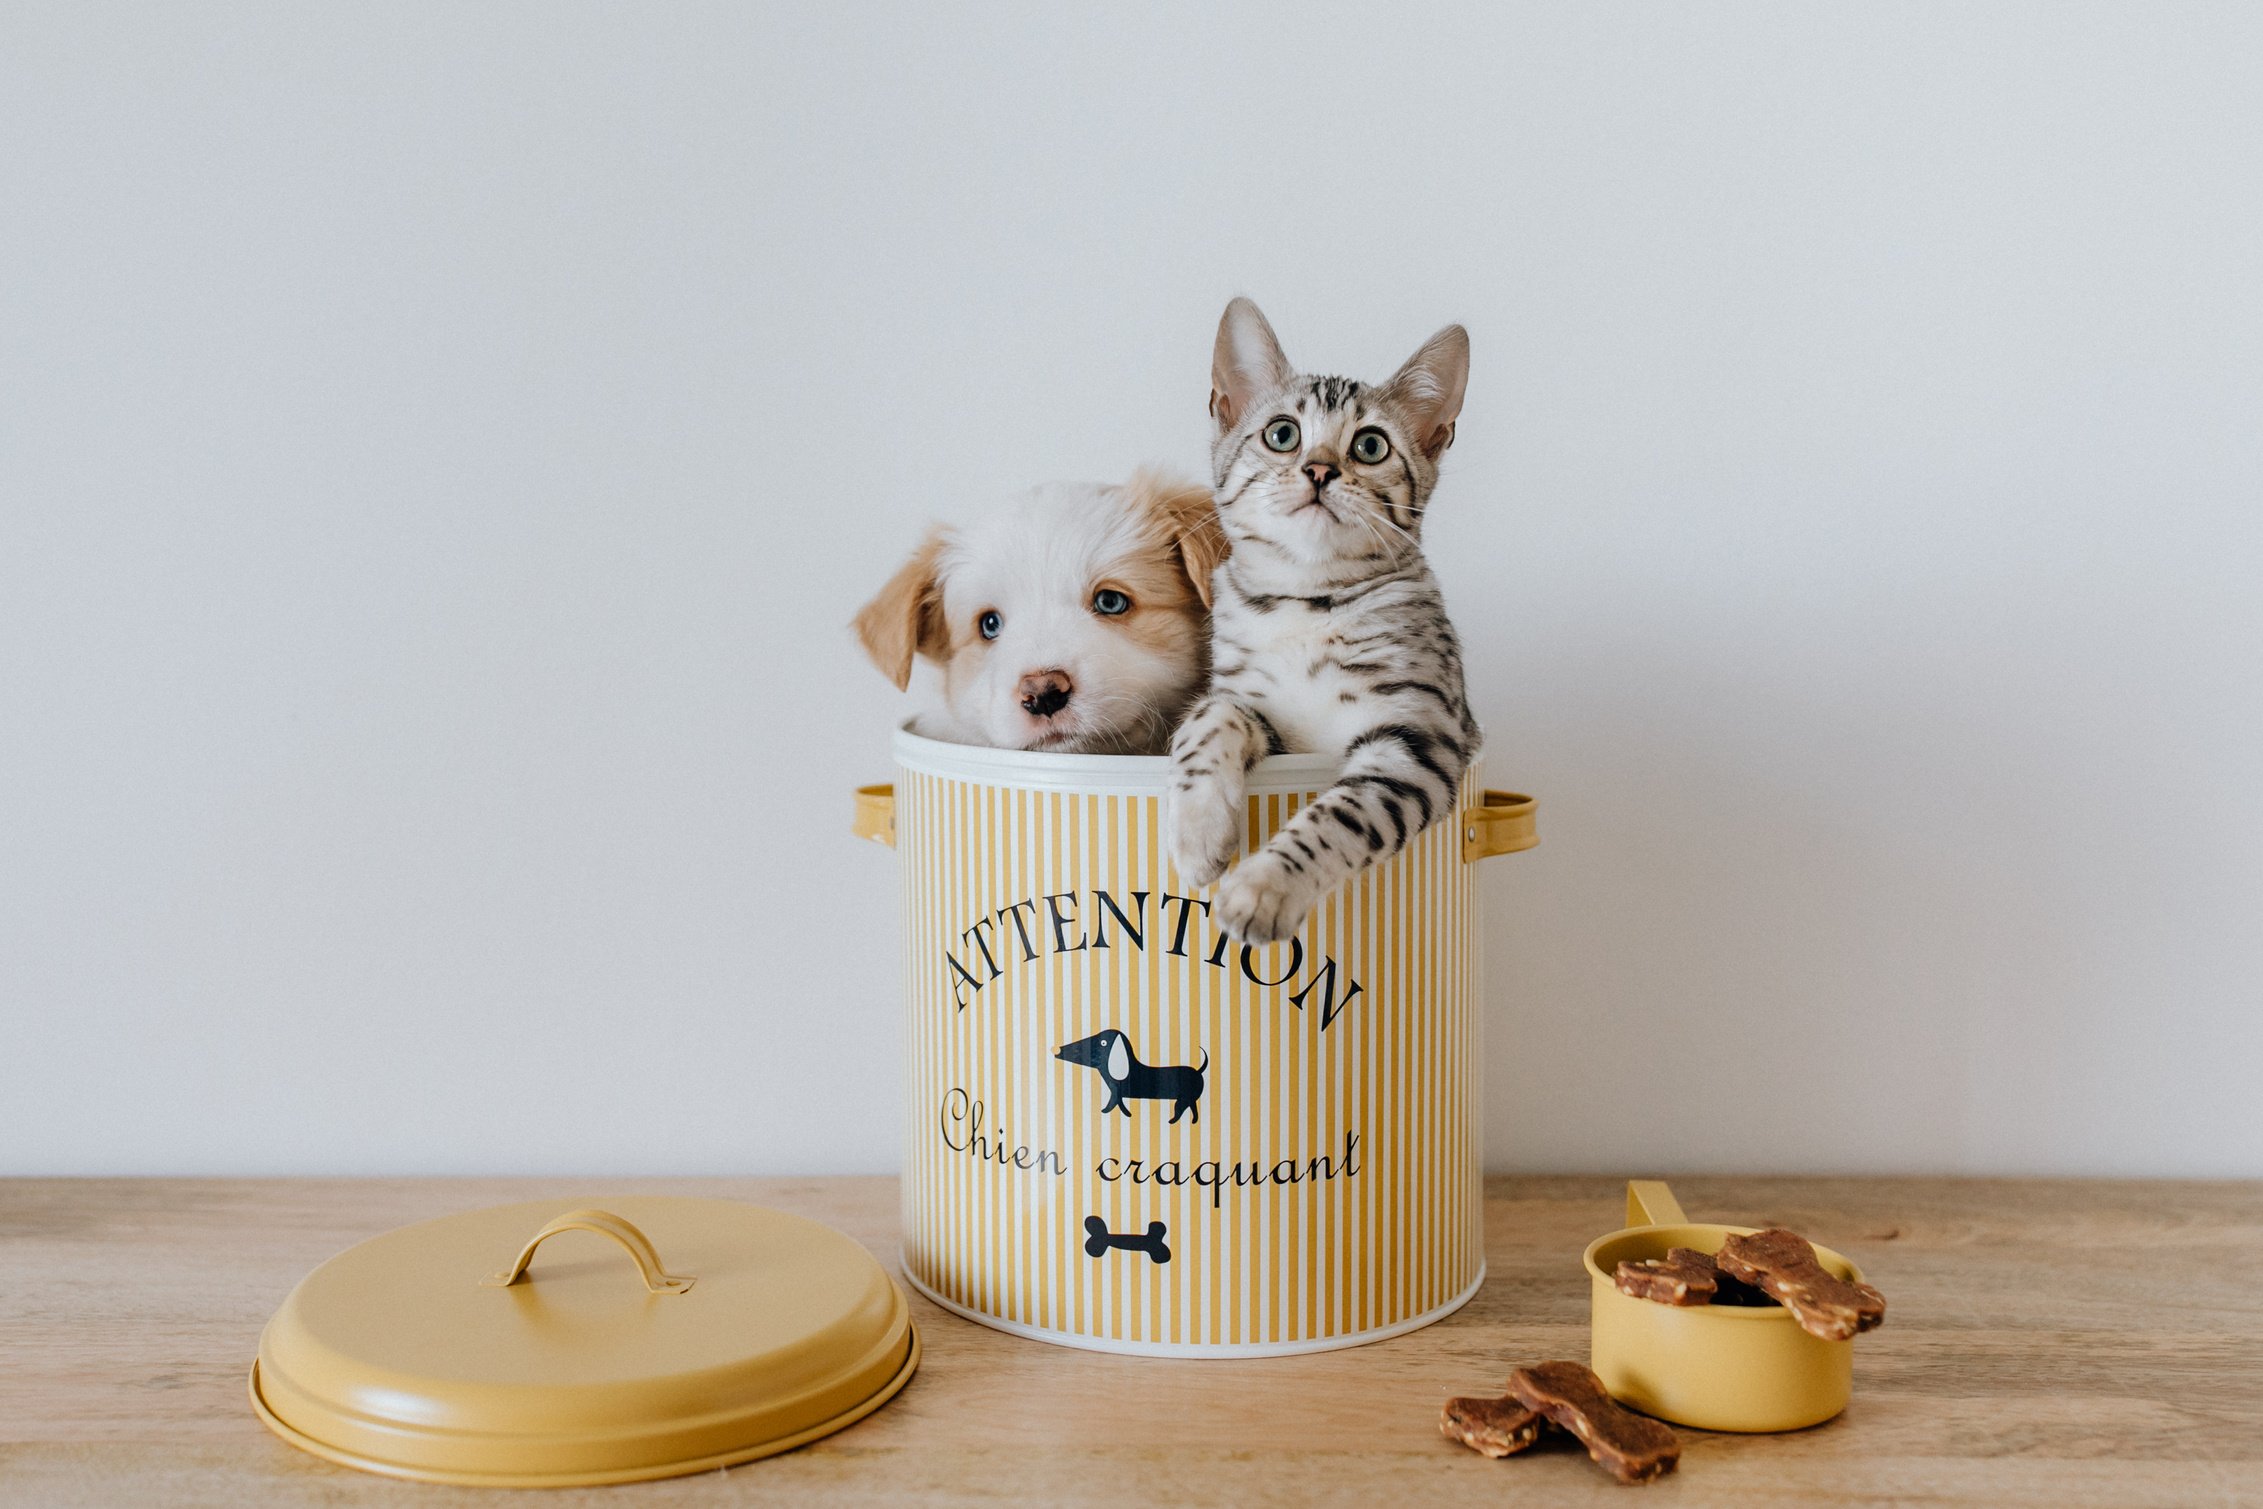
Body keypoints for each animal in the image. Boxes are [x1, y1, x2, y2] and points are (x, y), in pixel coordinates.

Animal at [1167, 294, 1484, 945]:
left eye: (1370, 446)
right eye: (1282, 434)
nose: (1318, 469)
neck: (1306, 603)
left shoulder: (1420, 738)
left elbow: (1341, 815)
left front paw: (1264, 888)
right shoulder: (1258, 710)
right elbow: (1208, 718)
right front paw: (1199, 831)